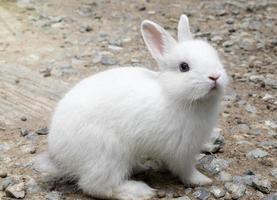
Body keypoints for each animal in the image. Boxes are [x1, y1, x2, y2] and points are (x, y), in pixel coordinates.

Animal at [37, 14, 226, 199]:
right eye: (184, 67)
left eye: (215, 56)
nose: (215, 76)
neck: (173, 94)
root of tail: (58, 155)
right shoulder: (181, 151)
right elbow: (185, 170)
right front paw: (202, 180)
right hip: (108, 154)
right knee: (96, 186)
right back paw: (139, 191)